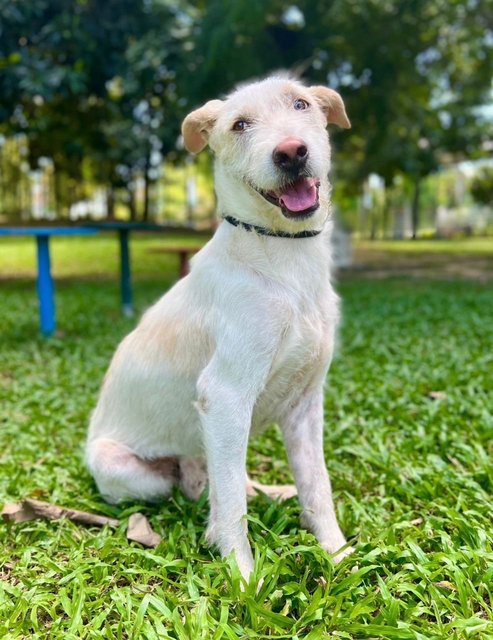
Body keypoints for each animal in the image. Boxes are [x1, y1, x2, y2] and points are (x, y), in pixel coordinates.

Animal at [86, 75, 352, 580]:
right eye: (240, 125)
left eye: (301, 104)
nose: (291, 152)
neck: (283, 255)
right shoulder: (226, 394)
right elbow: (230, 510)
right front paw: (243, 577)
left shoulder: (305, 404)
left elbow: (319, 486)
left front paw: (338, 554)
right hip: (135, 470)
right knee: (202, 488)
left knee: (227, 477)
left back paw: (267, 491)